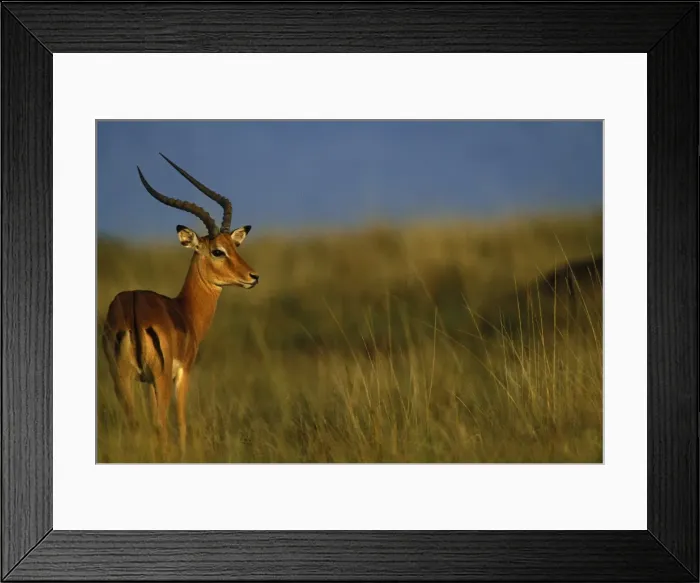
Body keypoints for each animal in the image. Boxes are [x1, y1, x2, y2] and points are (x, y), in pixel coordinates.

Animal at [101, 153, 259, 453]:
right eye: (217, 251)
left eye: (235, 247)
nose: (253, 277)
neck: (184, 310)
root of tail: (133, 310)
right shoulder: (182, 373)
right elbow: (182, 423)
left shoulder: (144, 380)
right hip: (159, 378)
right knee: (160, 425)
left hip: (121, 378)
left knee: (134, 424)